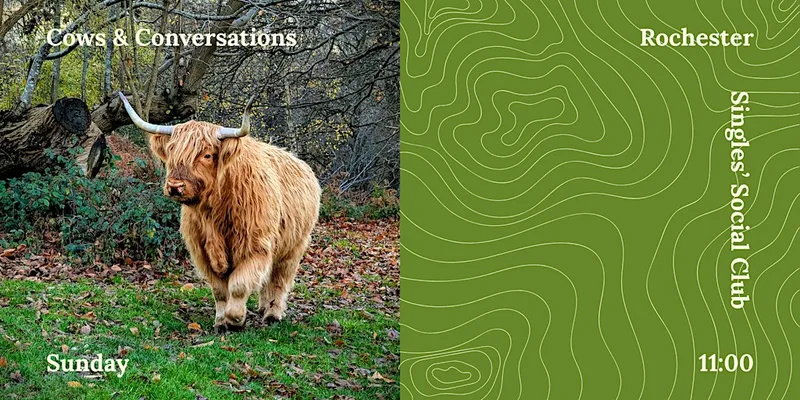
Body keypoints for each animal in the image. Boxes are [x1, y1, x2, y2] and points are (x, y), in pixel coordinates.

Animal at [118, 92, 321, 332]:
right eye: (172, 150)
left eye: (207, 155)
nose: (175, 186)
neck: (214, 213)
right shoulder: (202, 251)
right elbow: (219, 290)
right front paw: (221, 321)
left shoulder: (255, 247)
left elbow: (239, 286)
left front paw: (235, 319)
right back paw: (263, 307)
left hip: (294, 246)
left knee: (279, 279)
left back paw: (272, 313)